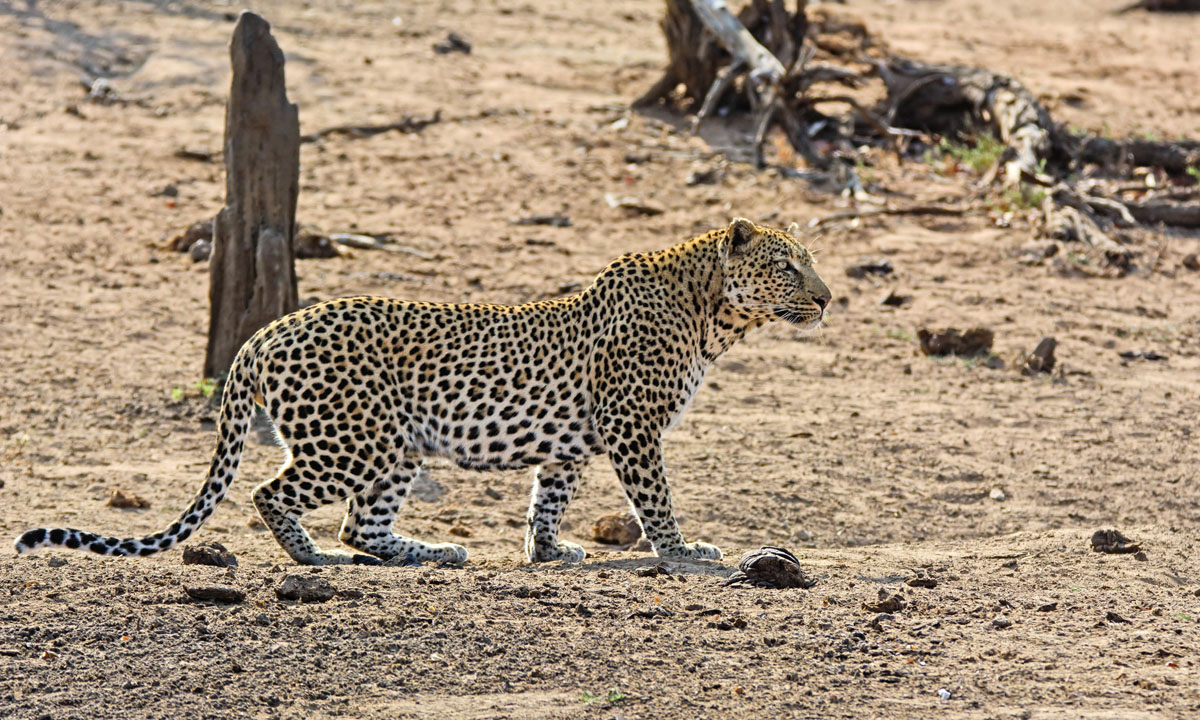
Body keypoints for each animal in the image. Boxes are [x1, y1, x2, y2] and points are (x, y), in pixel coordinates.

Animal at [11, 216, 835, 566]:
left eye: (809, 263)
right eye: (788, 267)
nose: (828, 299)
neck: (712, 314)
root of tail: (262, 335)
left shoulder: (573, 442)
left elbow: (548, 497)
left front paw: (547, 551)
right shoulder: (633, 428)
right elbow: (655, 500)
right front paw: (682, 551)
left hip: (396, 449)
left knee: (363, 525)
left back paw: (428, 551)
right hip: (353, 443)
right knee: (273, 495)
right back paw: (315, 559)